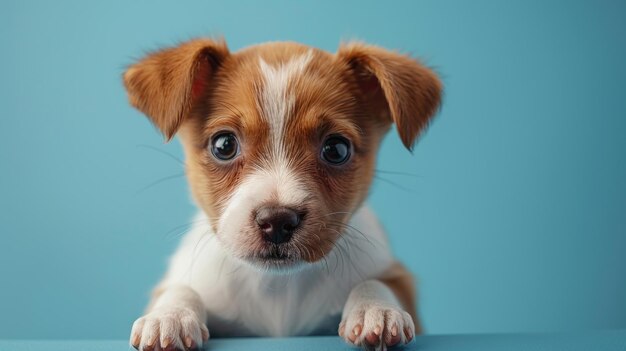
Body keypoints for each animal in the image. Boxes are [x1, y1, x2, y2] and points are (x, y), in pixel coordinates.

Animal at [124, 38, 442, 351]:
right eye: (224, 145)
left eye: (336, 149)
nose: (276, 221)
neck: (278, 287)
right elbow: (181, 288)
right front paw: (170, 316)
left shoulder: (396, 278)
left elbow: (375, 283)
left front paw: (376, 310)